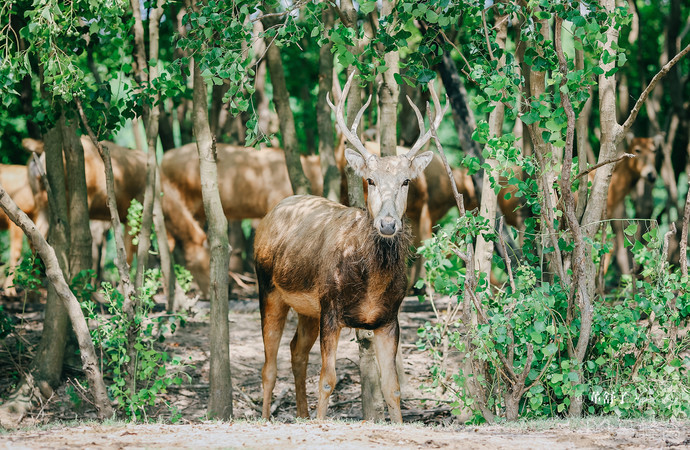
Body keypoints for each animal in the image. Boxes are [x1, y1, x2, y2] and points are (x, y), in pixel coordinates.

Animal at [254, 72, 446, 424]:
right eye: (369, 180)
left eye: (406, 181)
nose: (388, 223)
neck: (370, 284)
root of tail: (273, 211)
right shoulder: (330, 307)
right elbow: (327, 379)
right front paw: (320, 422)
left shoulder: (388, 318)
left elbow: (392, 387)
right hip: (268, 287)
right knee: (269, 366)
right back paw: (266, 418)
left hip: (307, 309)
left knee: (296, 351)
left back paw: (301, 415)